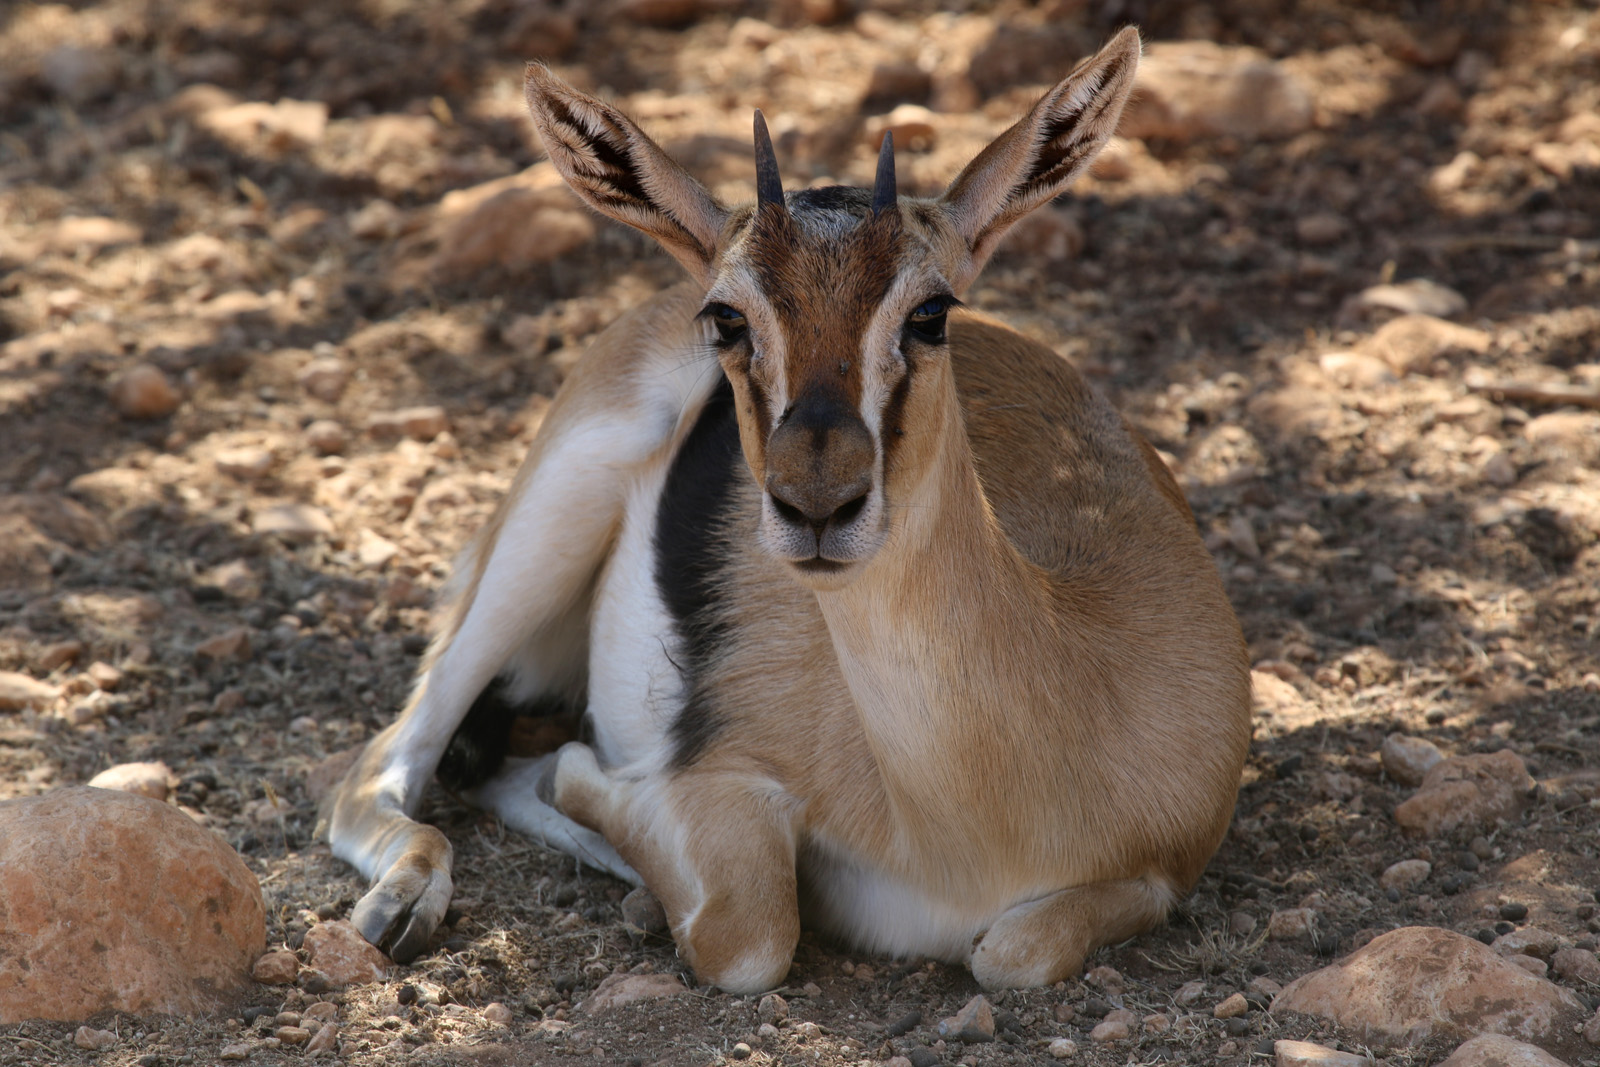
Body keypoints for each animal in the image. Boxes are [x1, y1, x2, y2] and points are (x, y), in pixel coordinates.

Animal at [323, 26, 1252, 994]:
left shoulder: (1158, 870)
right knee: (380, 769)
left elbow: (1015, 950)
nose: (818, 503)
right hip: (544, 530)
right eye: (729, 318)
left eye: (931, 311)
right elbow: (748, 931)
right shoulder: (727, 789)